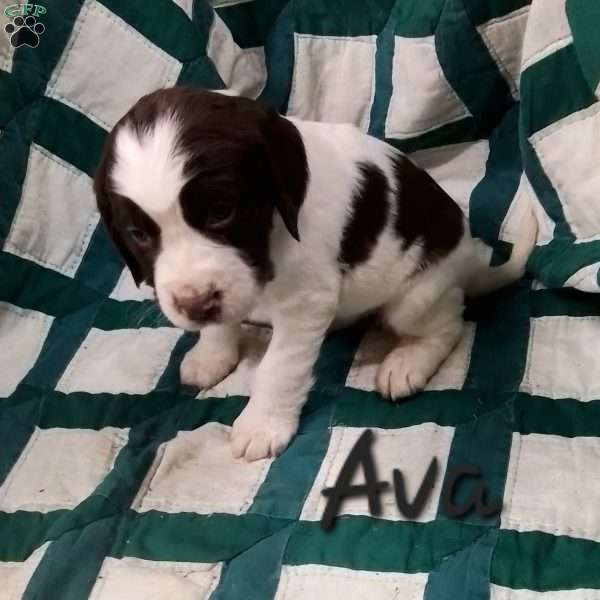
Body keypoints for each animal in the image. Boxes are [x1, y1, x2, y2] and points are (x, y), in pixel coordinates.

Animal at [95, 86, 540, 462]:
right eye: (138, 234)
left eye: (222, 212)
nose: (194, 305)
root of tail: (468, 257)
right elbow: (223, 322)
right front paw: (212, 354)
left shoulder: (304, 304)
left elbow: (278, 368)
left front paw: (262, 425)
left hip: (417, 296)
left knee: (449, 323)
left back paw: (407, 361)